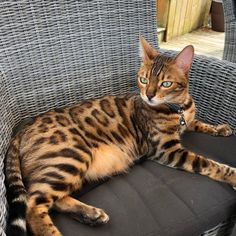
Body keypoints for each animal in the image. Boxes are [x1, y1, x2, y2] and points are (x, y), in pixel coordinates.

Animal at [5, 35, 234, 236]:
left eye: (166, 84)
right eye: (143, 80)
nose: (149, 95)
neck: (179, 108)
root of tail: (21, 130)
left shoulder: (187, 123)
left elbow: (200, 123)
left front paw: (221, 128)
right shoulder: (167, 150)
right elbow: (209, 163)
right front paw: (233, 176)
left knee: (50, 198)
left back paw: (91, 215)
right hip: (70, 157)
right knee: (33, 203)